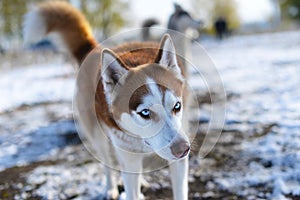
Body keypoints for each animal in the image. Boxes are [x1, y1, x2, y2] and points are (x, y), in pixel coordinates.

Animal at [24, 1, 191, 200]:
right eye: (144, 112)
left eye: (177, 106)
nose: (183, 149)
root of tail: (94, 50)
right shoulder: (128, 156)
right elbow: (129, 186)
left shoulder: (179, 160)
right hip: (97, 136)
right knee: (106, 164)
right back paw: (110, 189)